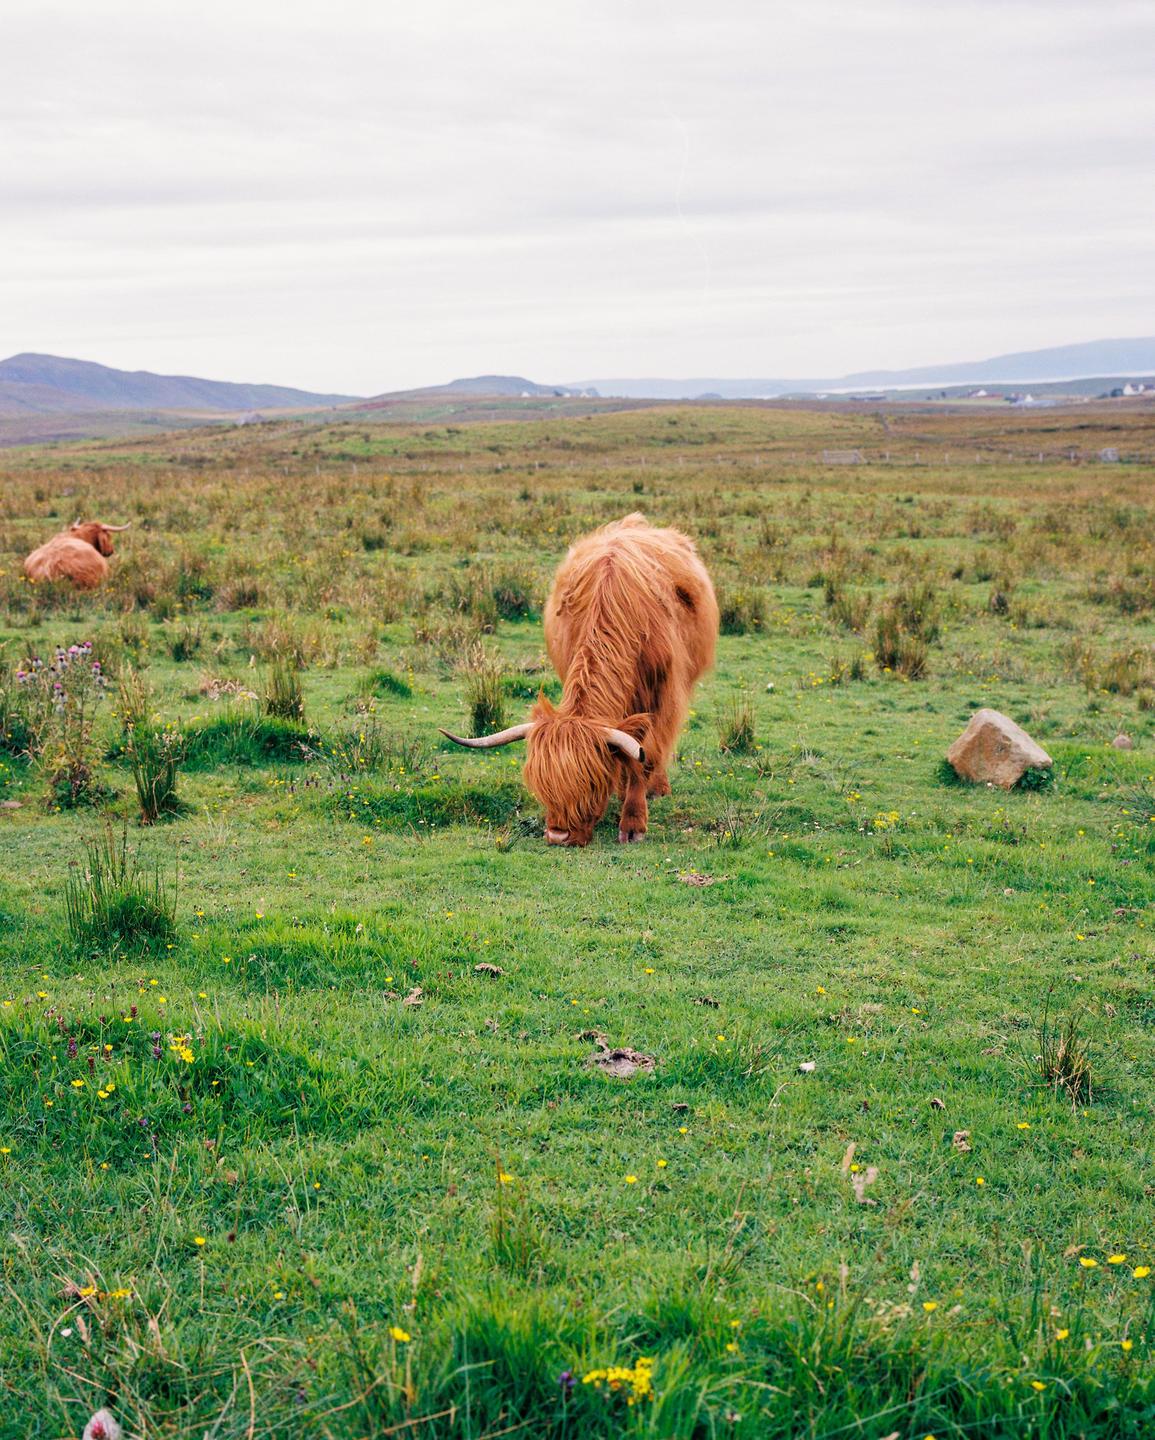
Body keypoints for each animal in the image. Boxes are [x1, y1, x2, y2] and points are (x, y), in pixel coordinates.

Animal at [441, 514, 718, 846]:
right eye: (542, 785)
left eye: (591, 782)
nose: (559, 835)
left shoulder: (663, 695)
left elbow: (647, 756)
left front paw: (633, 823)